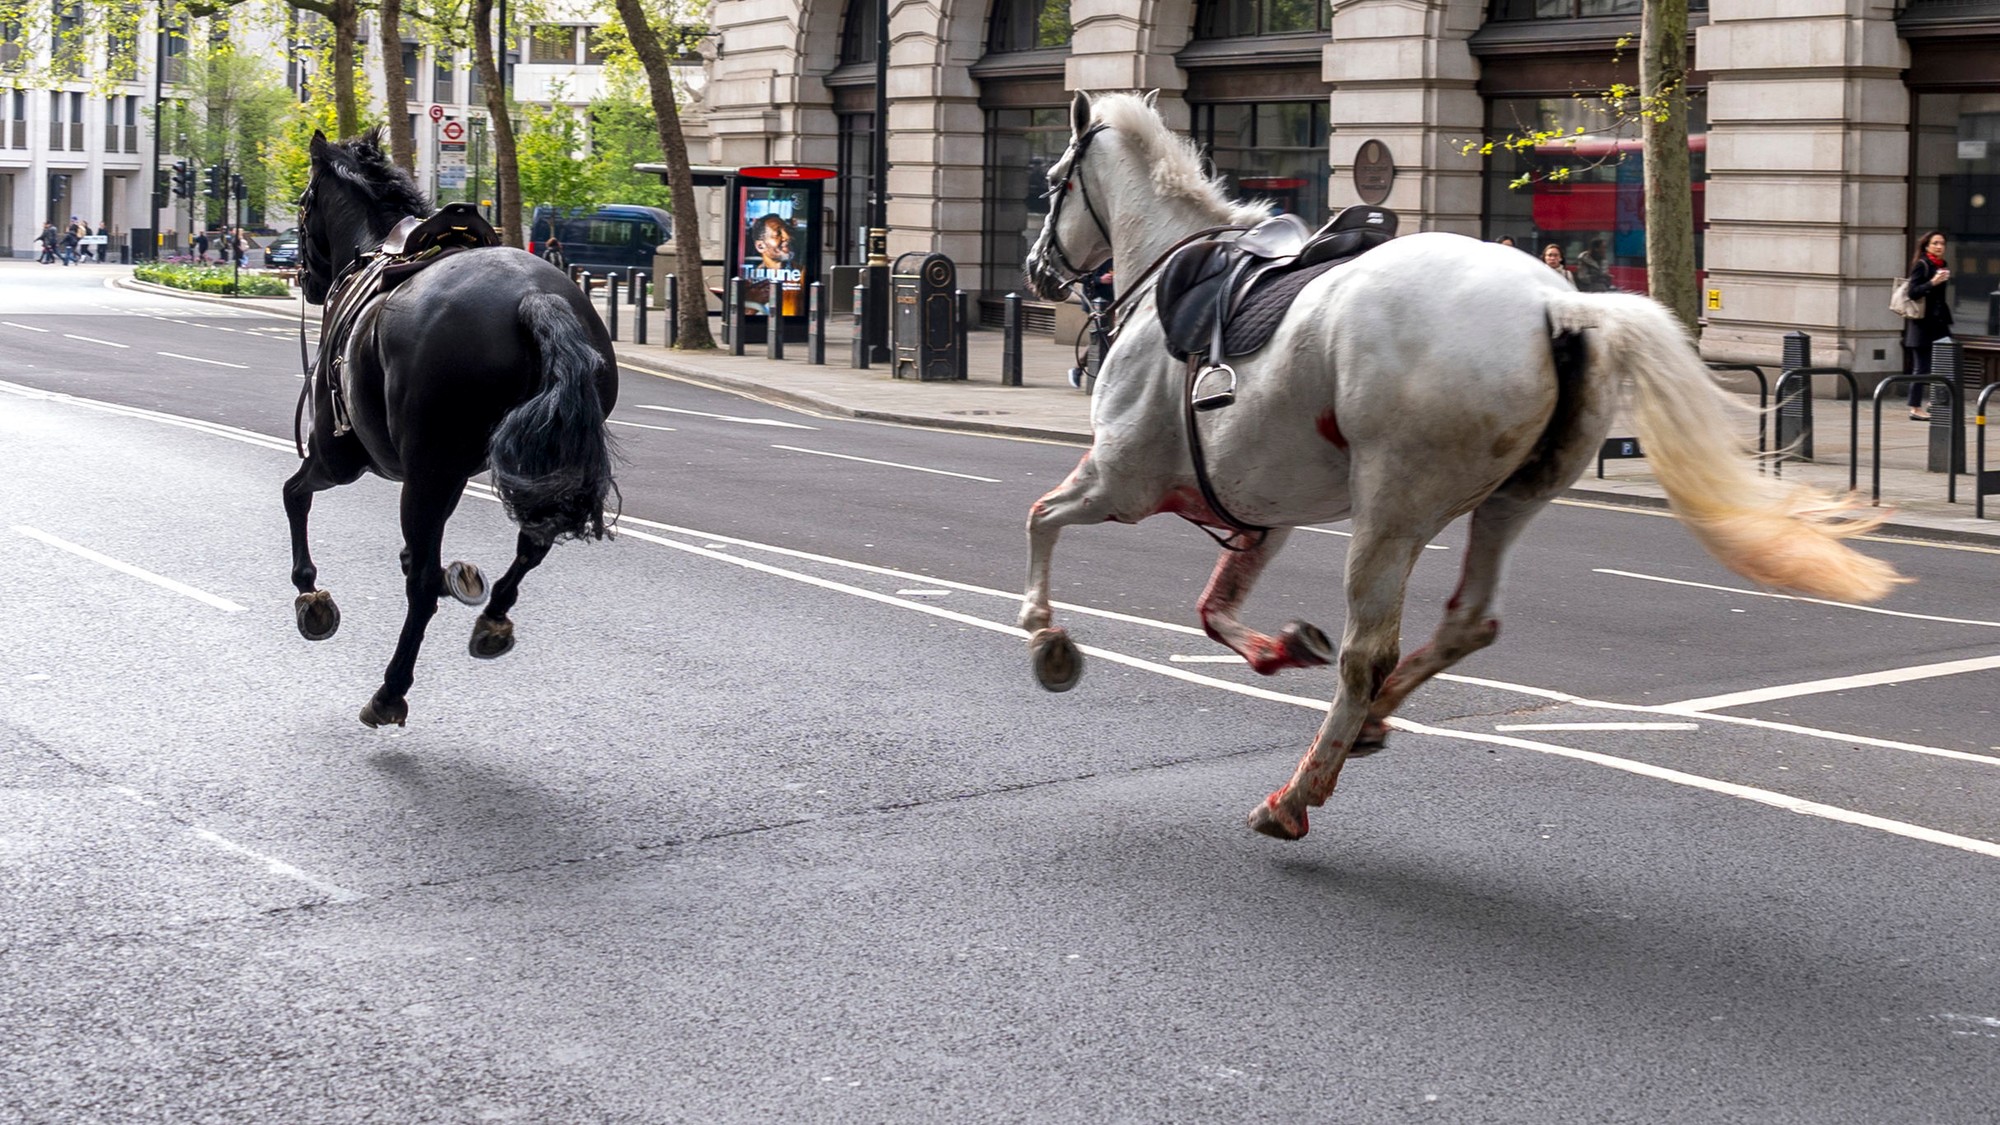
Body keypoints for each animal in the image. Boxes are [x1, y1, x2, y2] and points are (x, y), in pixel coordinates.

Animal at [290, 131, 616, 728]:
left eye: (304, 204)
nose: (305, 279)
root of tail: (533, 297)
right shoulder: (450, 473)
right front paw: (459, 576)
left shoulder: (340, 456)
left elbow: (295, 496)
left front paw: (311, 592)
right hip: (535, 464)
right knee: (532, 544)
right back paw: (492, 617)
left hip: (416, 471)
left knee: (420, 591)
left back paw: (390, 690)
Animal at [1016, 89, 1904, 840]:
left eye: (1053, 182)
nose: (1035, 271)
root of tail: (1563, 301)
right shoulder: (1257, 509)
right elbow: (1213, 607)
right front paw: (1276, 647)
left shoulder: (1122, 479)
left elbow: (1041, 517)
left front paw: (1045, 633)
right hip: (1510, 498)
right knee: (1467, 621)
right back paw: (1371, 721)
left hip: (1390, 508)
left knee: (1368, 652)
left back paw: (1299, 791)